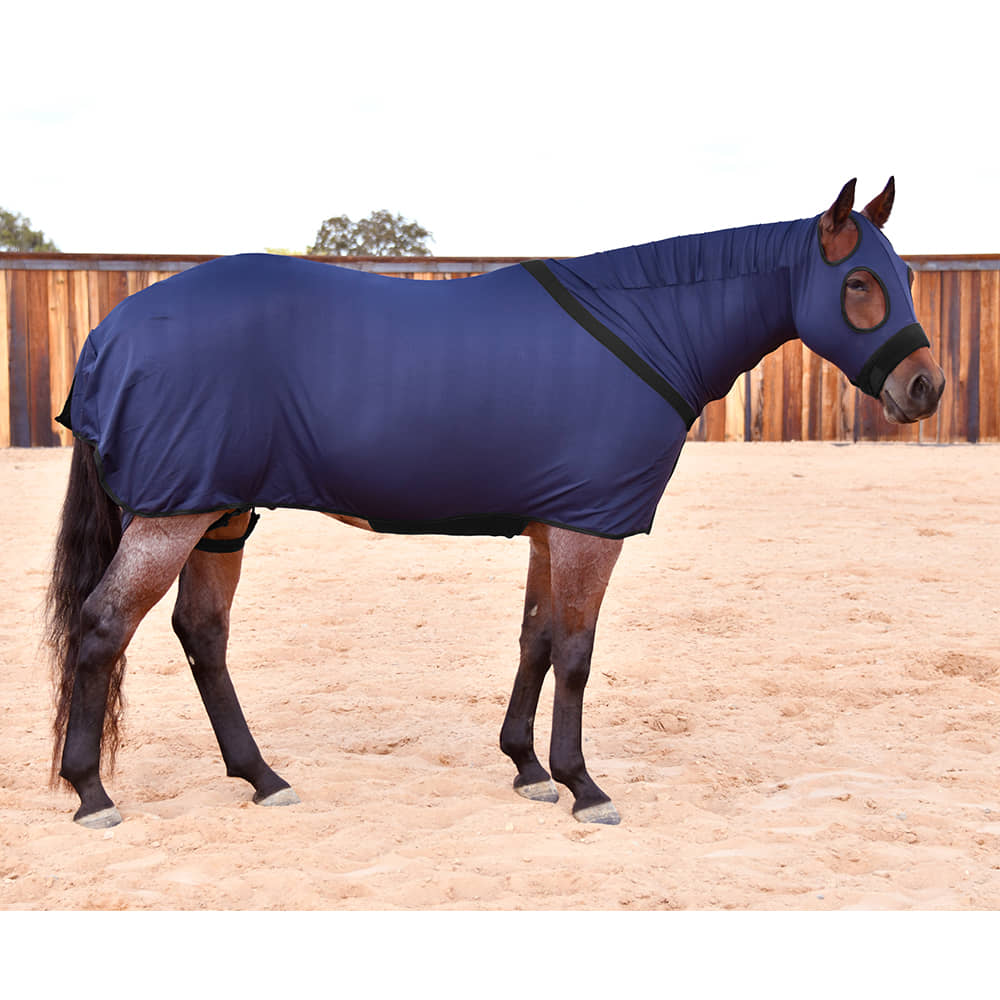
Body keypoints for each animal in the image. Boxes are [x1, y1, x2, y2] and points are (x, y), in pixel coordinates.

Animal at [46, 178, 945, 829]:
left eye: (903, 276)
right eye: (858, 281)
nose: (925, 388)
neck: (647, 325)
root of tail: (111, 332)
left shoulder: (554, 527)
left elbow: (536, 641)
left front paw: (528, 768)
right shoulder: (589, 530)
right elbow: (576, 654)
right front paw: (585, 786)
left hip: (221, 516)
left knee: (203, 635)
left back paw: (262, 777)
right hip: (176, 515)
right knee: (104, 627)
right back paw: (91, 793)